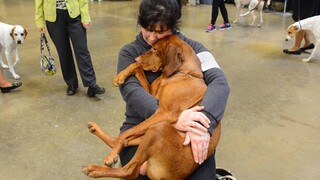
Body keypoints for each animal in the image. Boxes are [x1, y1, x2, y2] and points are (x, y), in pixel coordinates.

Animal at [82, 34, 221, 179]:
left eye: (155, 49)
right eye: (151, 46)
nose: (136, 57)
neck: (182, 73)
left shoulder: (164, 113)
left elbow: (124, 133)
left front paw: (111, 157)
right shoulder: (152, 95)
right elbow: (137, 67)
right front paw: (121, 75)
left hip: (158, 128)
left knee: (129, 170)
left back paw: (96, 168)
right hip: (150, 132)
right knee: (122, 142)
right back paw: (95, 130)